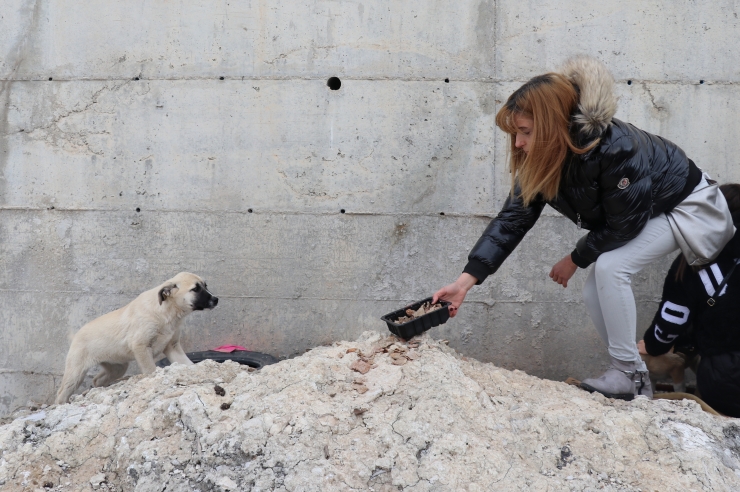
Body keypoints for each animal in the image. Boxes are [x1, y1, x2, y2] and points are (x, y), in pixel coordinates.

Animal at [55, 272, 218, 404]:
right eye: (195, 289)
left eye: (205, 285)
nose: (216, 299)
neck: (166, 312)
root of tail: (75, 336)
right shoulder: (141, 346)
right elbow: (150, 369)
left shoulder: (172, 347)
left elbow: (187, 363)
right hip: (75, 372)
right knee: (62, 392)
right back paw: (62, 405)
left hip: (117, 367)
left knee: (97, 379)